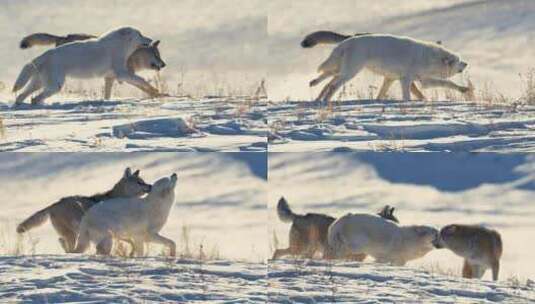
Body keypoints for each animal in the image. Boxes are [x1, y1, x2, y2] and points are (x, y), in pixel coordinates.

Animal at [12, 27, 155, 105]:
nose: (151, 39)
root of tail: (45, 55)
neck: (119, 45)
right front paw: (154, 90)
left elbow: (108, 93)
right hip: (54, 86)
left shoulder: (112, 76)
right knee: (34, 98)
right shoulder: (121, 73)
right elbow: (142, 80)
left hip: (39, 83)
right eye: (140, 34)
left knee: (22, 96)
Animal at [17, 167, 151, 253]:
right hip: (73, 234)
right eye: (140, 182)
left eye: (143, 182)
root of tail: (54, 204)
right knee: (69, 248)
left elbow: (130, 242)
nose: (150, 186)